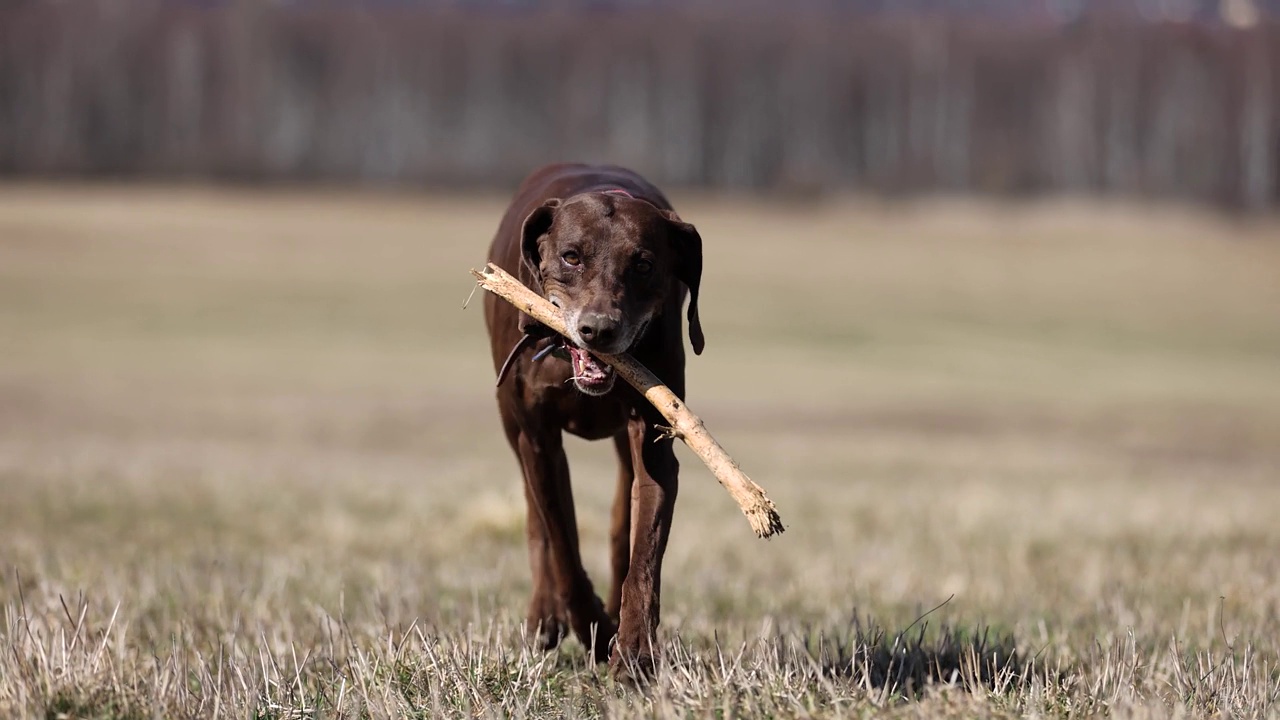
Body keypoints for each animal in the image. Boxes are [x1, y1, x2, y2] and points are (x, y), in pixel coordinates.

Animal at [481, 162, 706, 671]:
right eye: (571, 257)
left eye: (643, 264)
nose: (599, 329)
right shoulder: (538, 439)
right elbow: (561, 540)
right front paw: (594, 631)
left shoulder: (654, 438)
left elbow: (644, 548)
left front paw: (634, 647)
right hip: (511, 425)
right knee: (537, 518)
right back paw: (546, 616)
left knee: (622, 520)